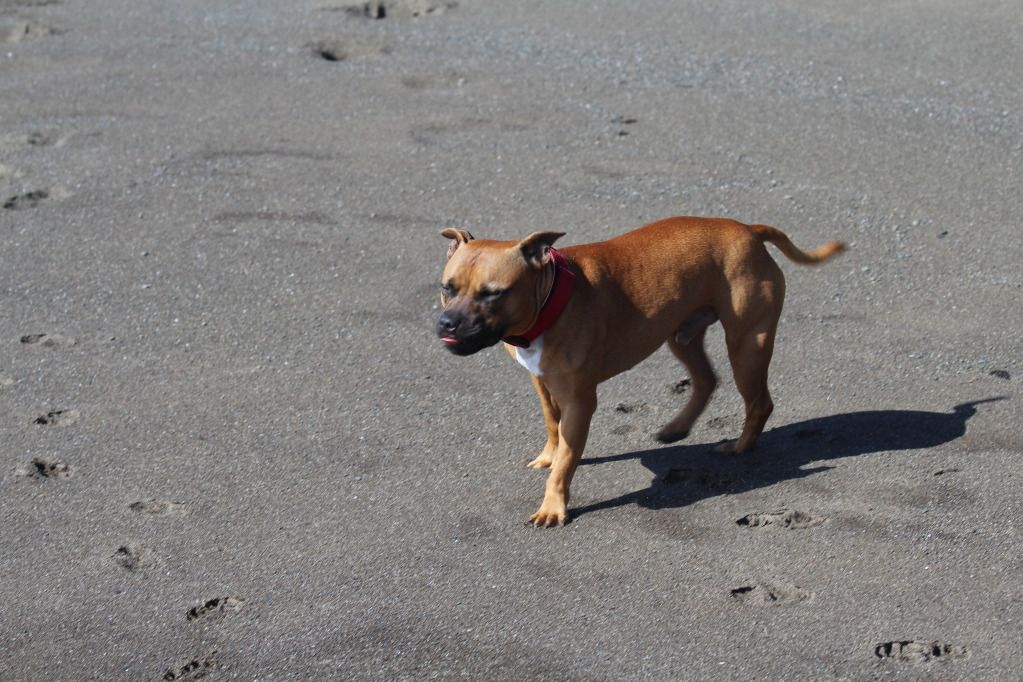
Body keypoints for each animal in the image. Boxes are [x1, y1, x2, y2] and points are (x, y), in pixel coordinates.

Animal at [435, 215, 842, 527]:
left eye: (493, 293)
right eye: (446, 288)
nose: (447, 323)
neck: (549, 300)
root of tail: (749, 229)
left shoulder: (580, 400)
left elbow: (567, 460)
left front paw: (553, 504)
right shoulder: (541, 381)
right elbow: (553, 424)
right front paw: (549, 455)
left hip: (747, 345)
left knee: (758, 402)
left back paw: (739, 447)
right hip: (682, 335)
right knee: (706, 379)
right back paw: (677, 428)